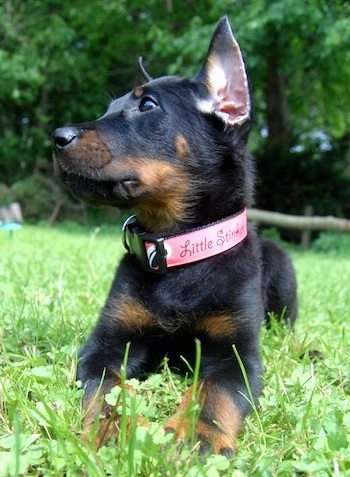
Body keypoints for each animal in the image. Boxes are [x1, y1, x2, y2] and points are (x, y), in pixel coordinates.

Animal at [52, 15, 298, 454]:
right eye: (109, 108)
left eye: (147, 105)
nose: (57, 137)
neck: (180, 250)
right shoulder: (107, 342)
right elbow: (107, 387)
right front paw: (113, 428)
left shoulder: (236, 354)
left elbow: (213, 392)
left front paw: (197, 436)